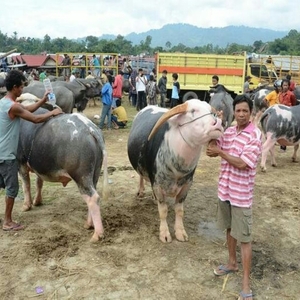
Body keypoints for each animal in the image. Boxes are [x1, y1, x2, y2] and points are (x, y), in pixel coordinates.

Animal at [17, 109, 109, 243]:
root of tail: (90, 128)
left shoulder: (20, 163)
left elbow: (26, 185)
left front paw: (26, 206)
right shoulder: (39, 167)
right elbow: (39, 183)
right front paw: (37, 201)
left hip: (81, 175)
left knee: (92, 197)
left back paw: (97, 234)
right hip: (94, 173)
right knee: (92, 195)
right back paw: (88, 224)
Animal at [126, 99, 223, 243]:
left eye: (211, 112)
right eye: (192, 111)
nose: (218, 123)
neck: (177, 169)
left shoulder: (186, 187)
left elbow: (179, 211)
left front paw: (180, 232)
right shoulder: (158, 185)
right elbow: (163, 211)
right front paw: (165, 234)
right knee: (141, 175)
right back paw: (140, 191)